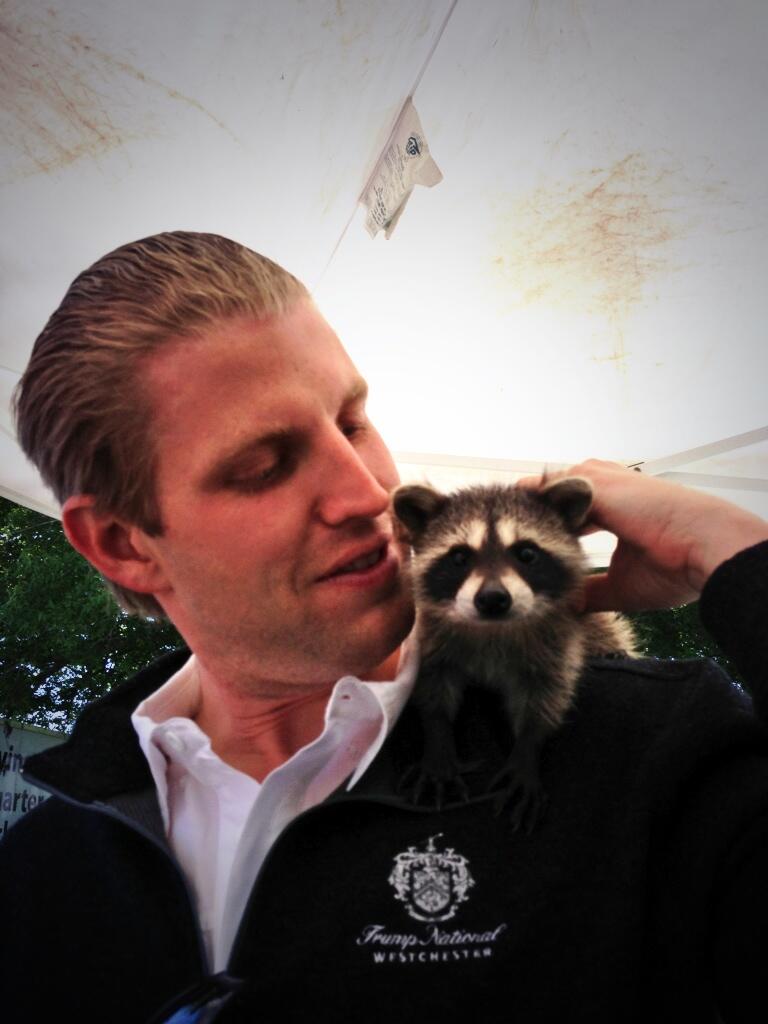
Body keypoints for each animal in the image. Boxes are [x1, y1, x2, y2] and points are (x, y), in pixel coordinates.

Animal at [393, 477, 636, 832]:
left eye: (527, 553)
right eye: (459, 557)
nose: (493, 599)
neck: (493, 628)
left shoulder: (559, 638)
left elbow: (548, 691)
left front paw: (528, 748)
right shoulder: (431, 634)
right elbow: (433, 682)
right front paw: (438, 737)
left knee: (603, 624)